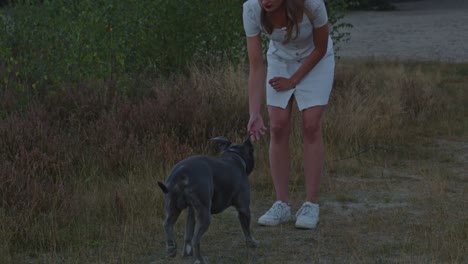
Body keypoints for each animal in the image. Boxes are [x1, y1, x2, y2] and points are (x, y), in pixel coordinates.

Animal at [157, 136, 260, 264]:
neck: (234, 155)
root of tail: (182, 173)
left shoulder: (191, 212)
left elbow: (188, 233)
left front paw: (187, 253)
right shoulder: (244, 208)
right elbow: (246, 229)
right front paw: (252, 243)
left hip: (173, 207)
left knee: (168, 224)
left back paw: (172, 248)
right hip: (205, 215)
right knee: (196, 239)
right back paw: (200, 259)